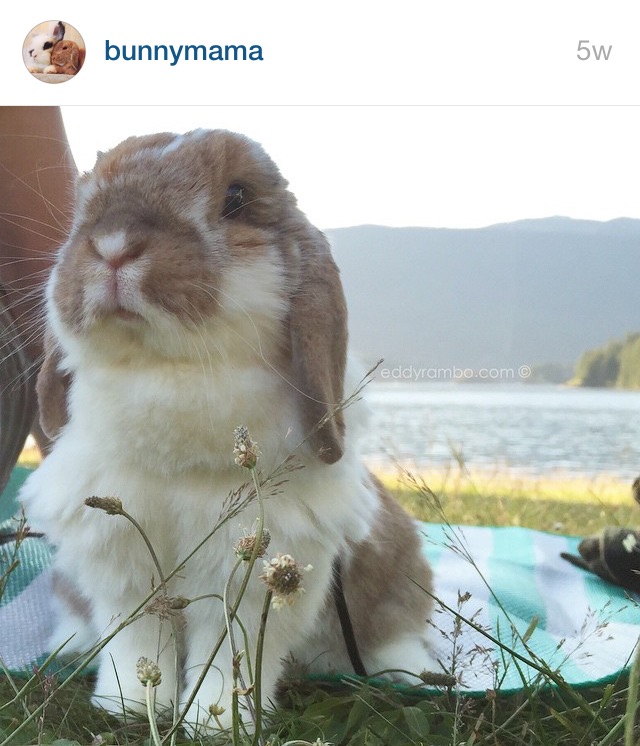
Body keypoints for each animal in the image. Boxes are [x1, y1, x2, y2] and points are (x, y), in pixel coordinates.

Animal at [19, 129, 437, 732]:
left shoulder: (252, 572)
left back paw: (412, 672)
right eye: (83, 202)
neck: (167, 371)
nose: (112, 245)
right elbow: (136, 644)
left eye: (237, 198)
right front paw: (126, 708)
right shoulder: (121, 565)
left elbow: (229, 654)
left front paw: (212, 723)